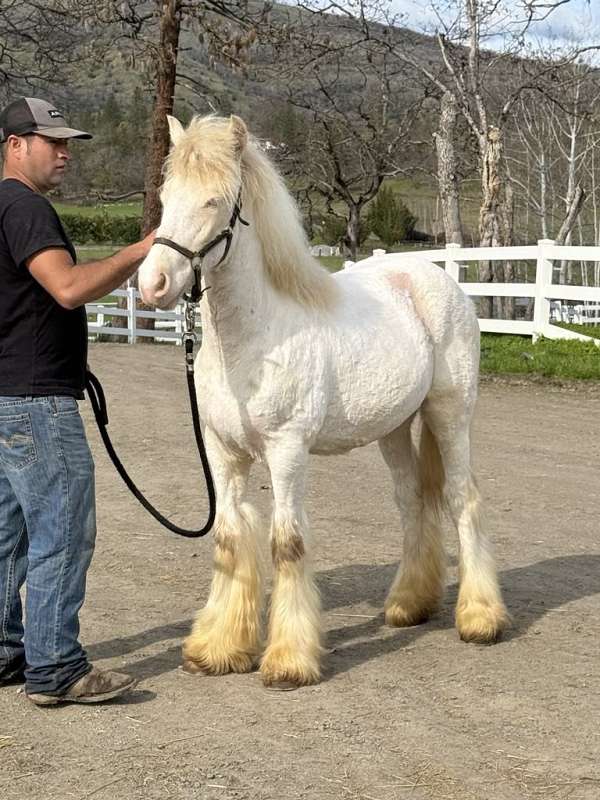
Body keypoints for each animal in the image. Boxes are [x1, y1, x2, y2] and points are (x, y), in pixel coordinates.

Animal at [138, 114, 509, 688]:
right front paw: (218, 649)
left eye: (214, 201)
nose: (152, 283)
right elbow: (229, 538)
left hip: (450, 414)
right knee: (412, 502)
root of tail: (436, 277)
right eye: (165, 194)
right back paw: (408, 605)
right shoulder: (224, 454)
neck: (255, 340)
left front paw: (289, 660)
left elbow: (286, 543)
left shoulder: (287, 451)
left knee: (461, 498)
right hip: (395, 428)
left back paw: (479, 618)